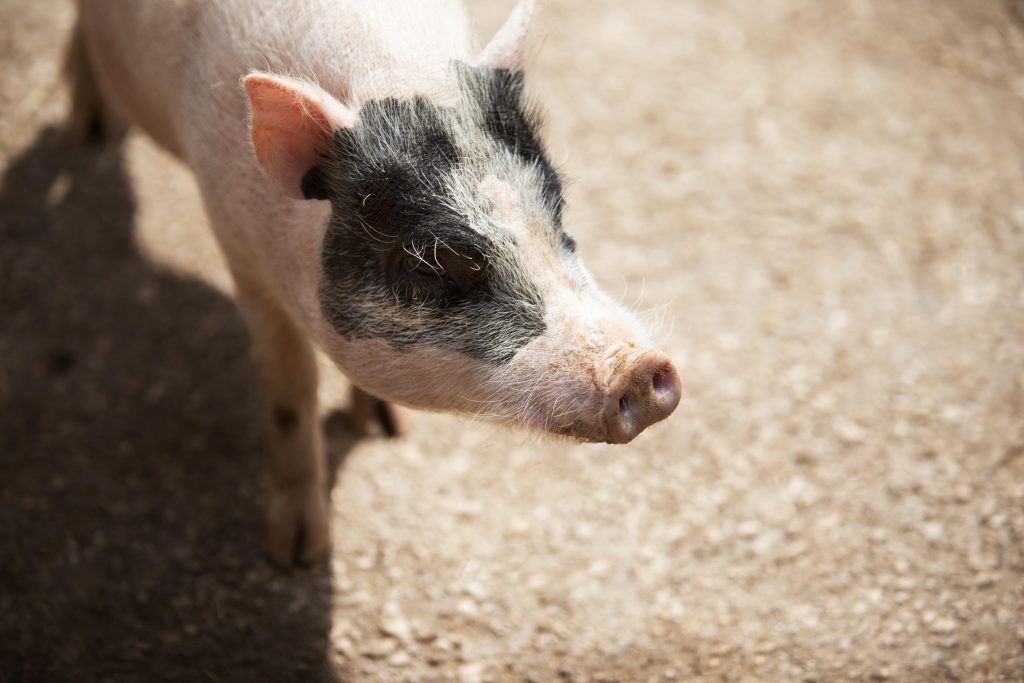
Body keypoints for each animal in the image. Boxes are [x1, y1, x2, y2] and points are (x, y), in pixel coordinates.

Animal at [69, 0, 682, 566]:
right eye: (431, 265)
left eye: (556, 215)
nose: (640, 366)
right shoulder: (237, 247)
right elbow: (289, 392)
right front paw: (296, 554)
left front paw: (386, 429)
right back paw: (91, 131)